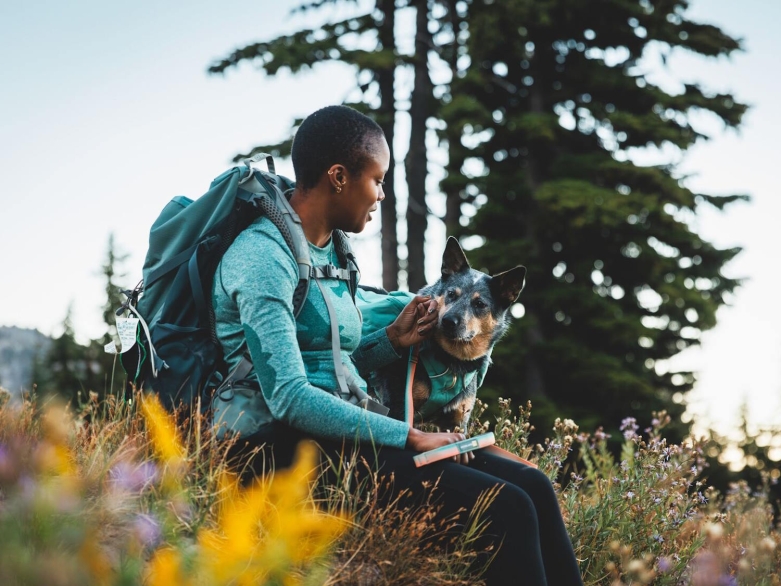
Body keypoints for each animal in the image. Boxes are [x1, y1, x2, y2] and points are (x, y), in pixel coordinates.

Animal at [372, 235, 524, 432]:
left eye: (480, 304)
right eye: (451, 294)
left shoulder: (456, 423)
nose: (448, 321)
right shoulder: (398, 407)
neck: (452, 361)